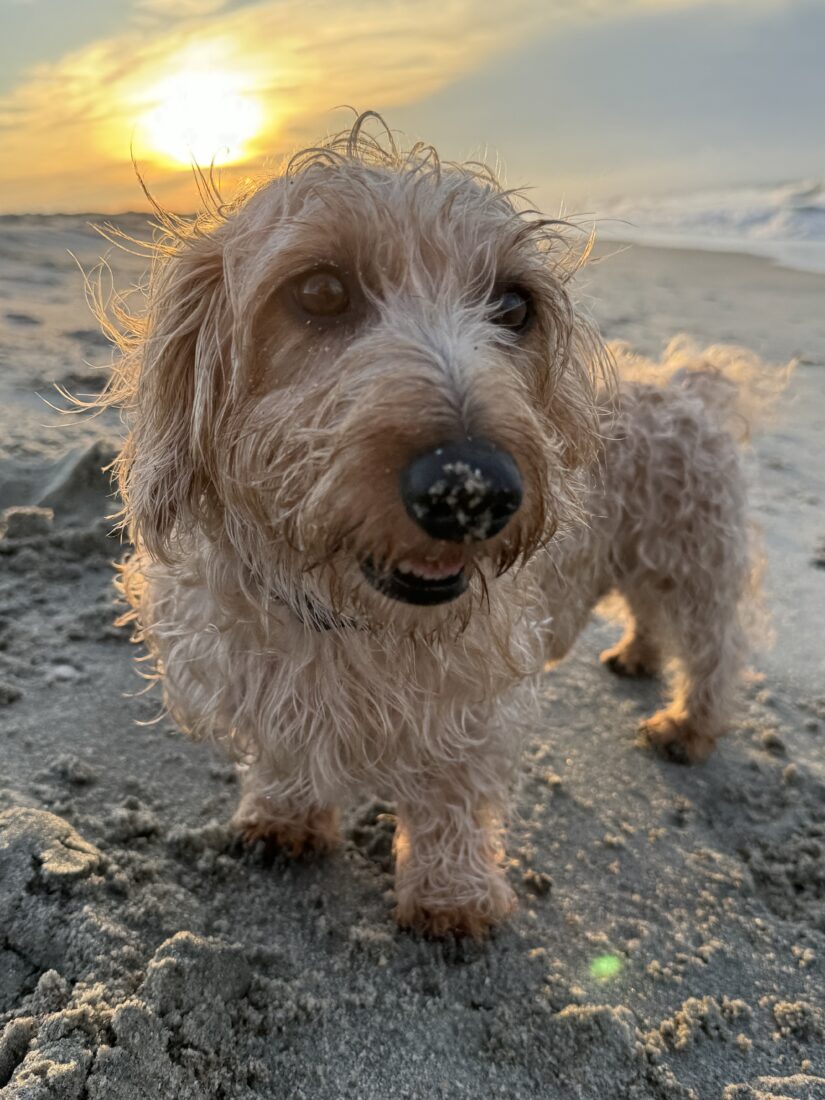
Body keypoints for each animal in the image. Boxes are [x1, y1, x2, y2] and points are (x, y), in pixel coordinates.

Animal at [100, 113, 774, 937]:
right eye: (320, 290)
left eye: (515, 307)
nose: (471, 491)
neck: (356, 620)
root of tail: (686, 384)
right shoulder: (265, 678)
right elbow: (287, 752)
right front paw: (285, 815)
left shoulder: (470, 702)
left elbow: (450, 794)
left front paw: (451, 896)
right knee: (648, 613)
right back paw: (639, 656)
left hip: (693, 557)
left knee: (713, 649)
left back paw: (689, 725)